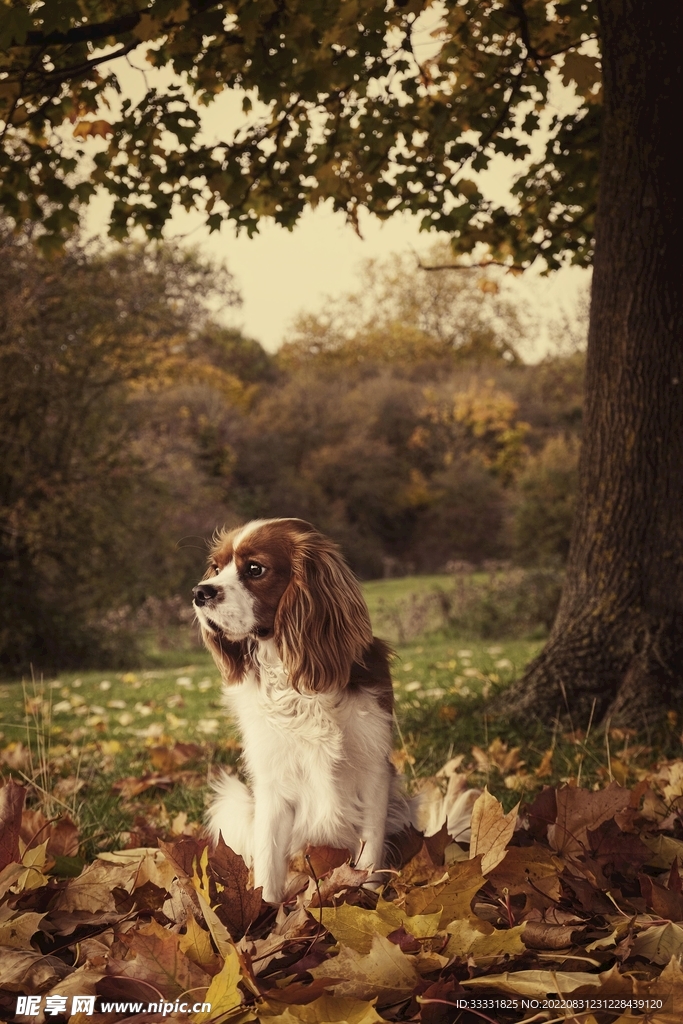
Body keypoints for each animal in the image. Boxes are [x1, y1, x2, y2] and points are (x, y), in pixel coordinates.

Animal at [191, 516, 411, 901]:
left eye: (255, 569)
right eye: (216, 568)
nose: (200, 592)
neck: (296, 680)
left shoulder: (374, 772)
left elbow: (370, 855)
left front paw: (368, 902)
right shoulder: (272, 785)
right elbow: (268, 862)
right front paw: (264, 911)